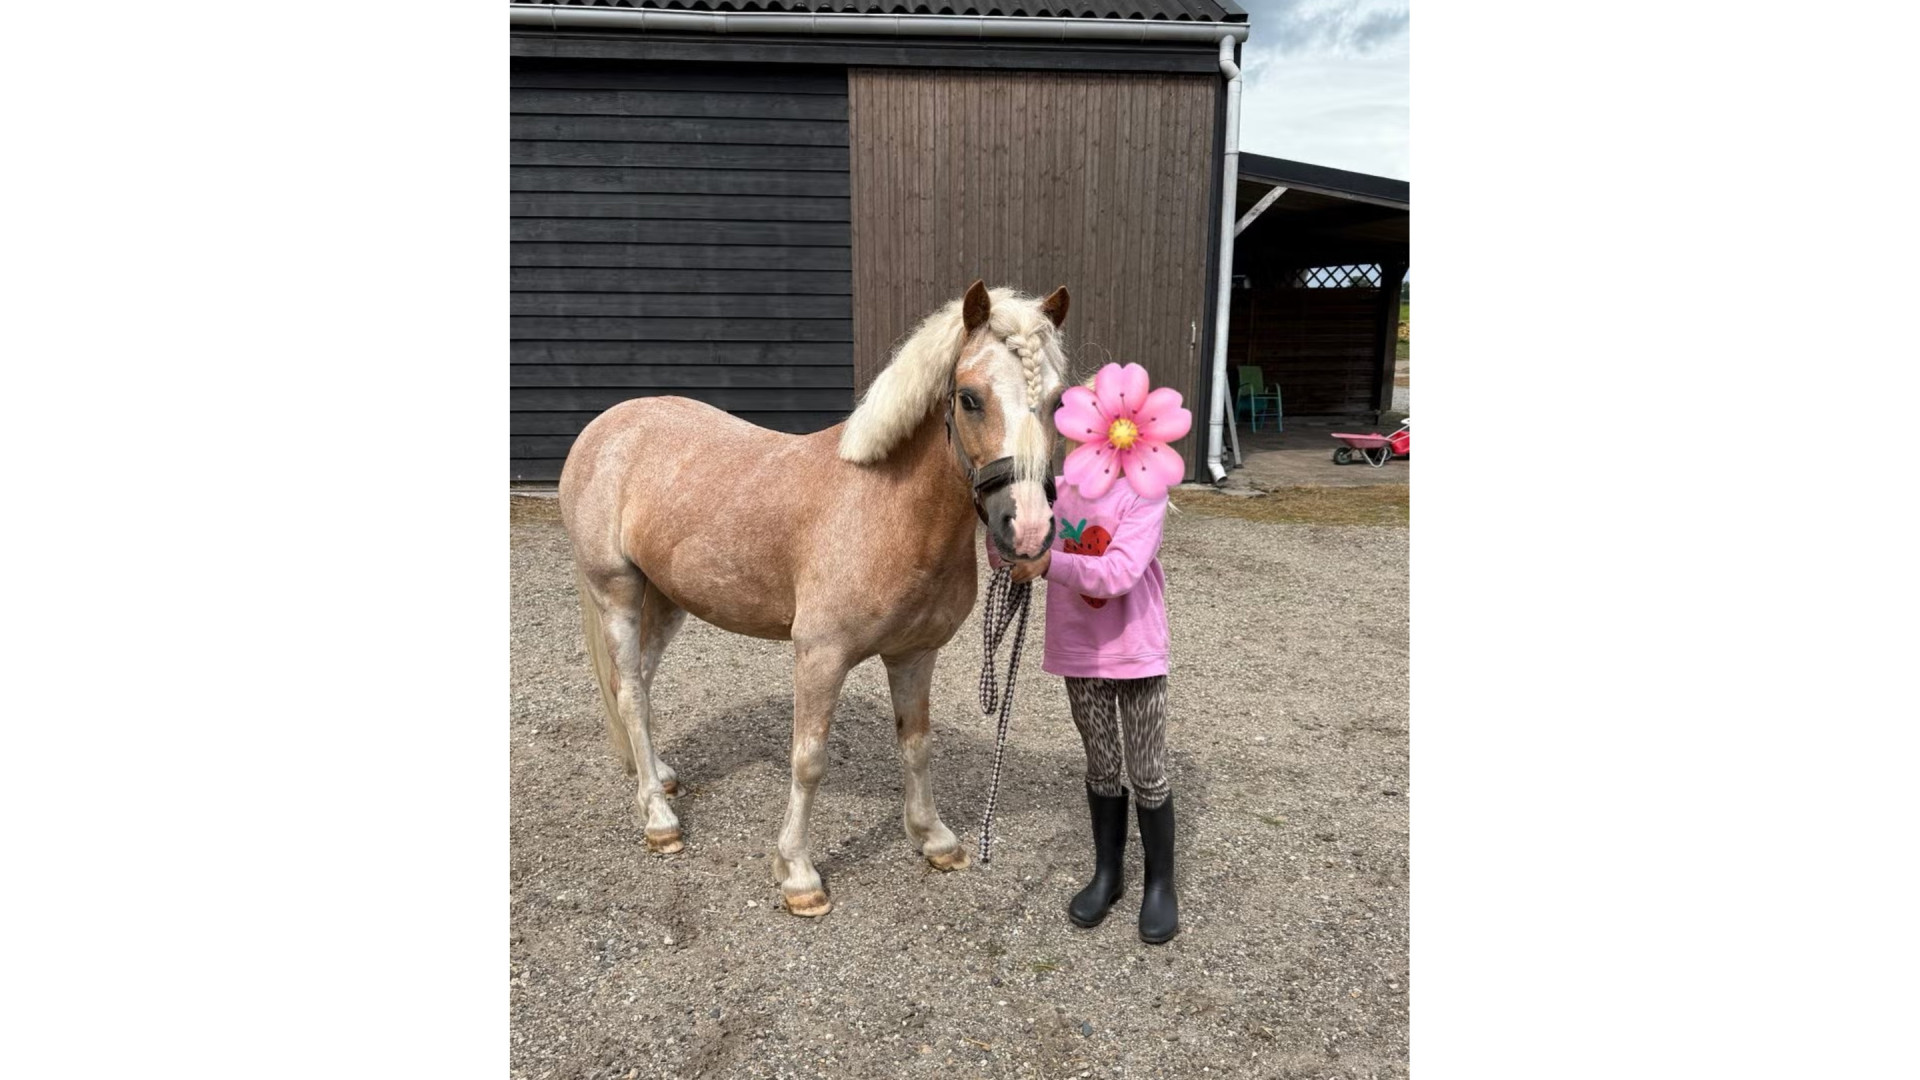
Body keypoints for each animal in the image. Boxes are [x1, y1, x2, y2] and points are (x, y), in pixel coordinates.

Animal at [558, 281, 1071, 916]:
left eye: (1058, 400)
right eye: (971, 399)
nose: (1028, 532)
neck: (887, 508)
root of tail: (607, 426)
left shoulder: (915, 654)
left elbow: (917, 745)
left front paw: (933, 838)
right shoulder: (820, 656)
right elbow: (808, 760)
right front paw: (798, 874)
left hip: (669, 597)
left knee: (641, 685)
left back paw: (656, 774)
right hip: (618, 592)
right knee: (629, 692)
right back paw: (659, 817)